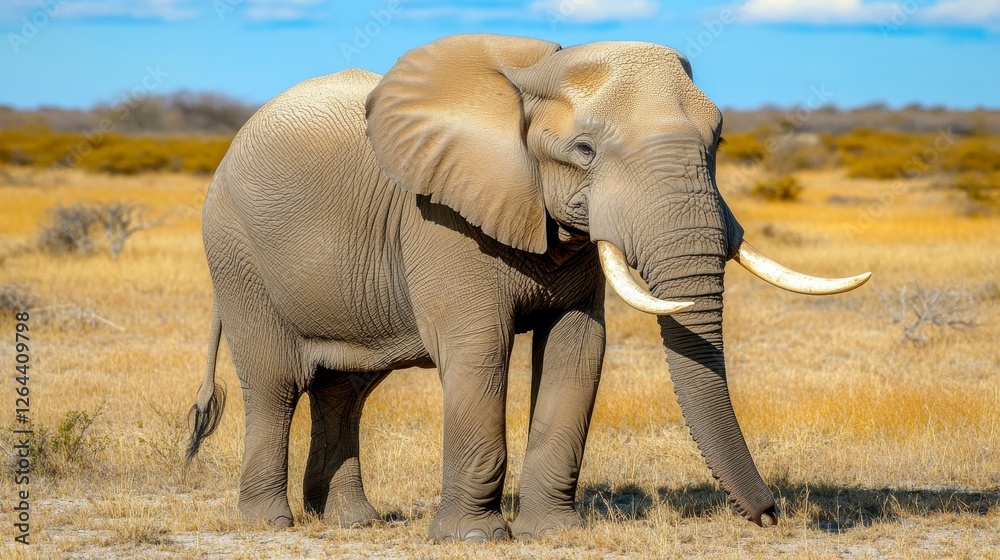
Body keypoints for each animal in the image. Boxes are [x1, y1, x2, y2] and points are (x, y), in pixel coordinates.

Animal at [185, 34, 870, 542]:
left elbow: (579, 349)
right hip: (236, 253)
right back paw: (270, 523)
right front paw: (473, 538)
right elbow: (478, 349)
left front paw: (554, 533)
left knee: (344, 389)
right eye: (584, 150)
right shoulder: (442, 217)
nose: (773, 513)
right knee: (276, 384)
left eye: (719, 141)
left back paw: (355, 523)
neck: (531, 76)